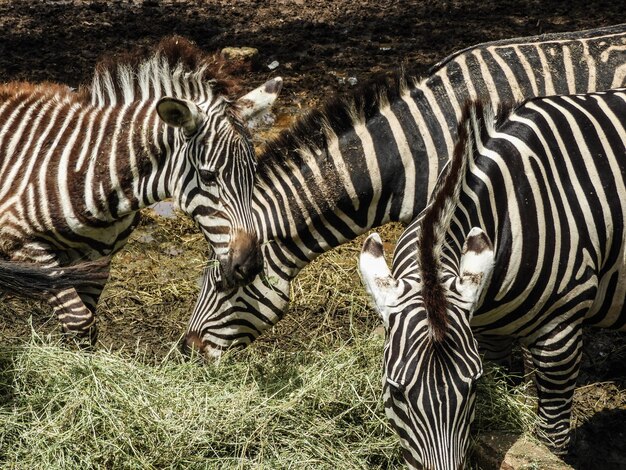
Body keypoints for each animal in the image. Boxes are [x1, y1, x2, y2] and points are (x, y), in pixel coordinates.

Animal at [0, 36, 280, 344]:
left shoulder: (97, 260)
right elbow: (79, 322)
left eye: (253, 173)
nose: (250, 267)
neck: (94, 171)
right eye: (208, 176)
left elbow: (86, 327)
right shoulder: (20, 242)